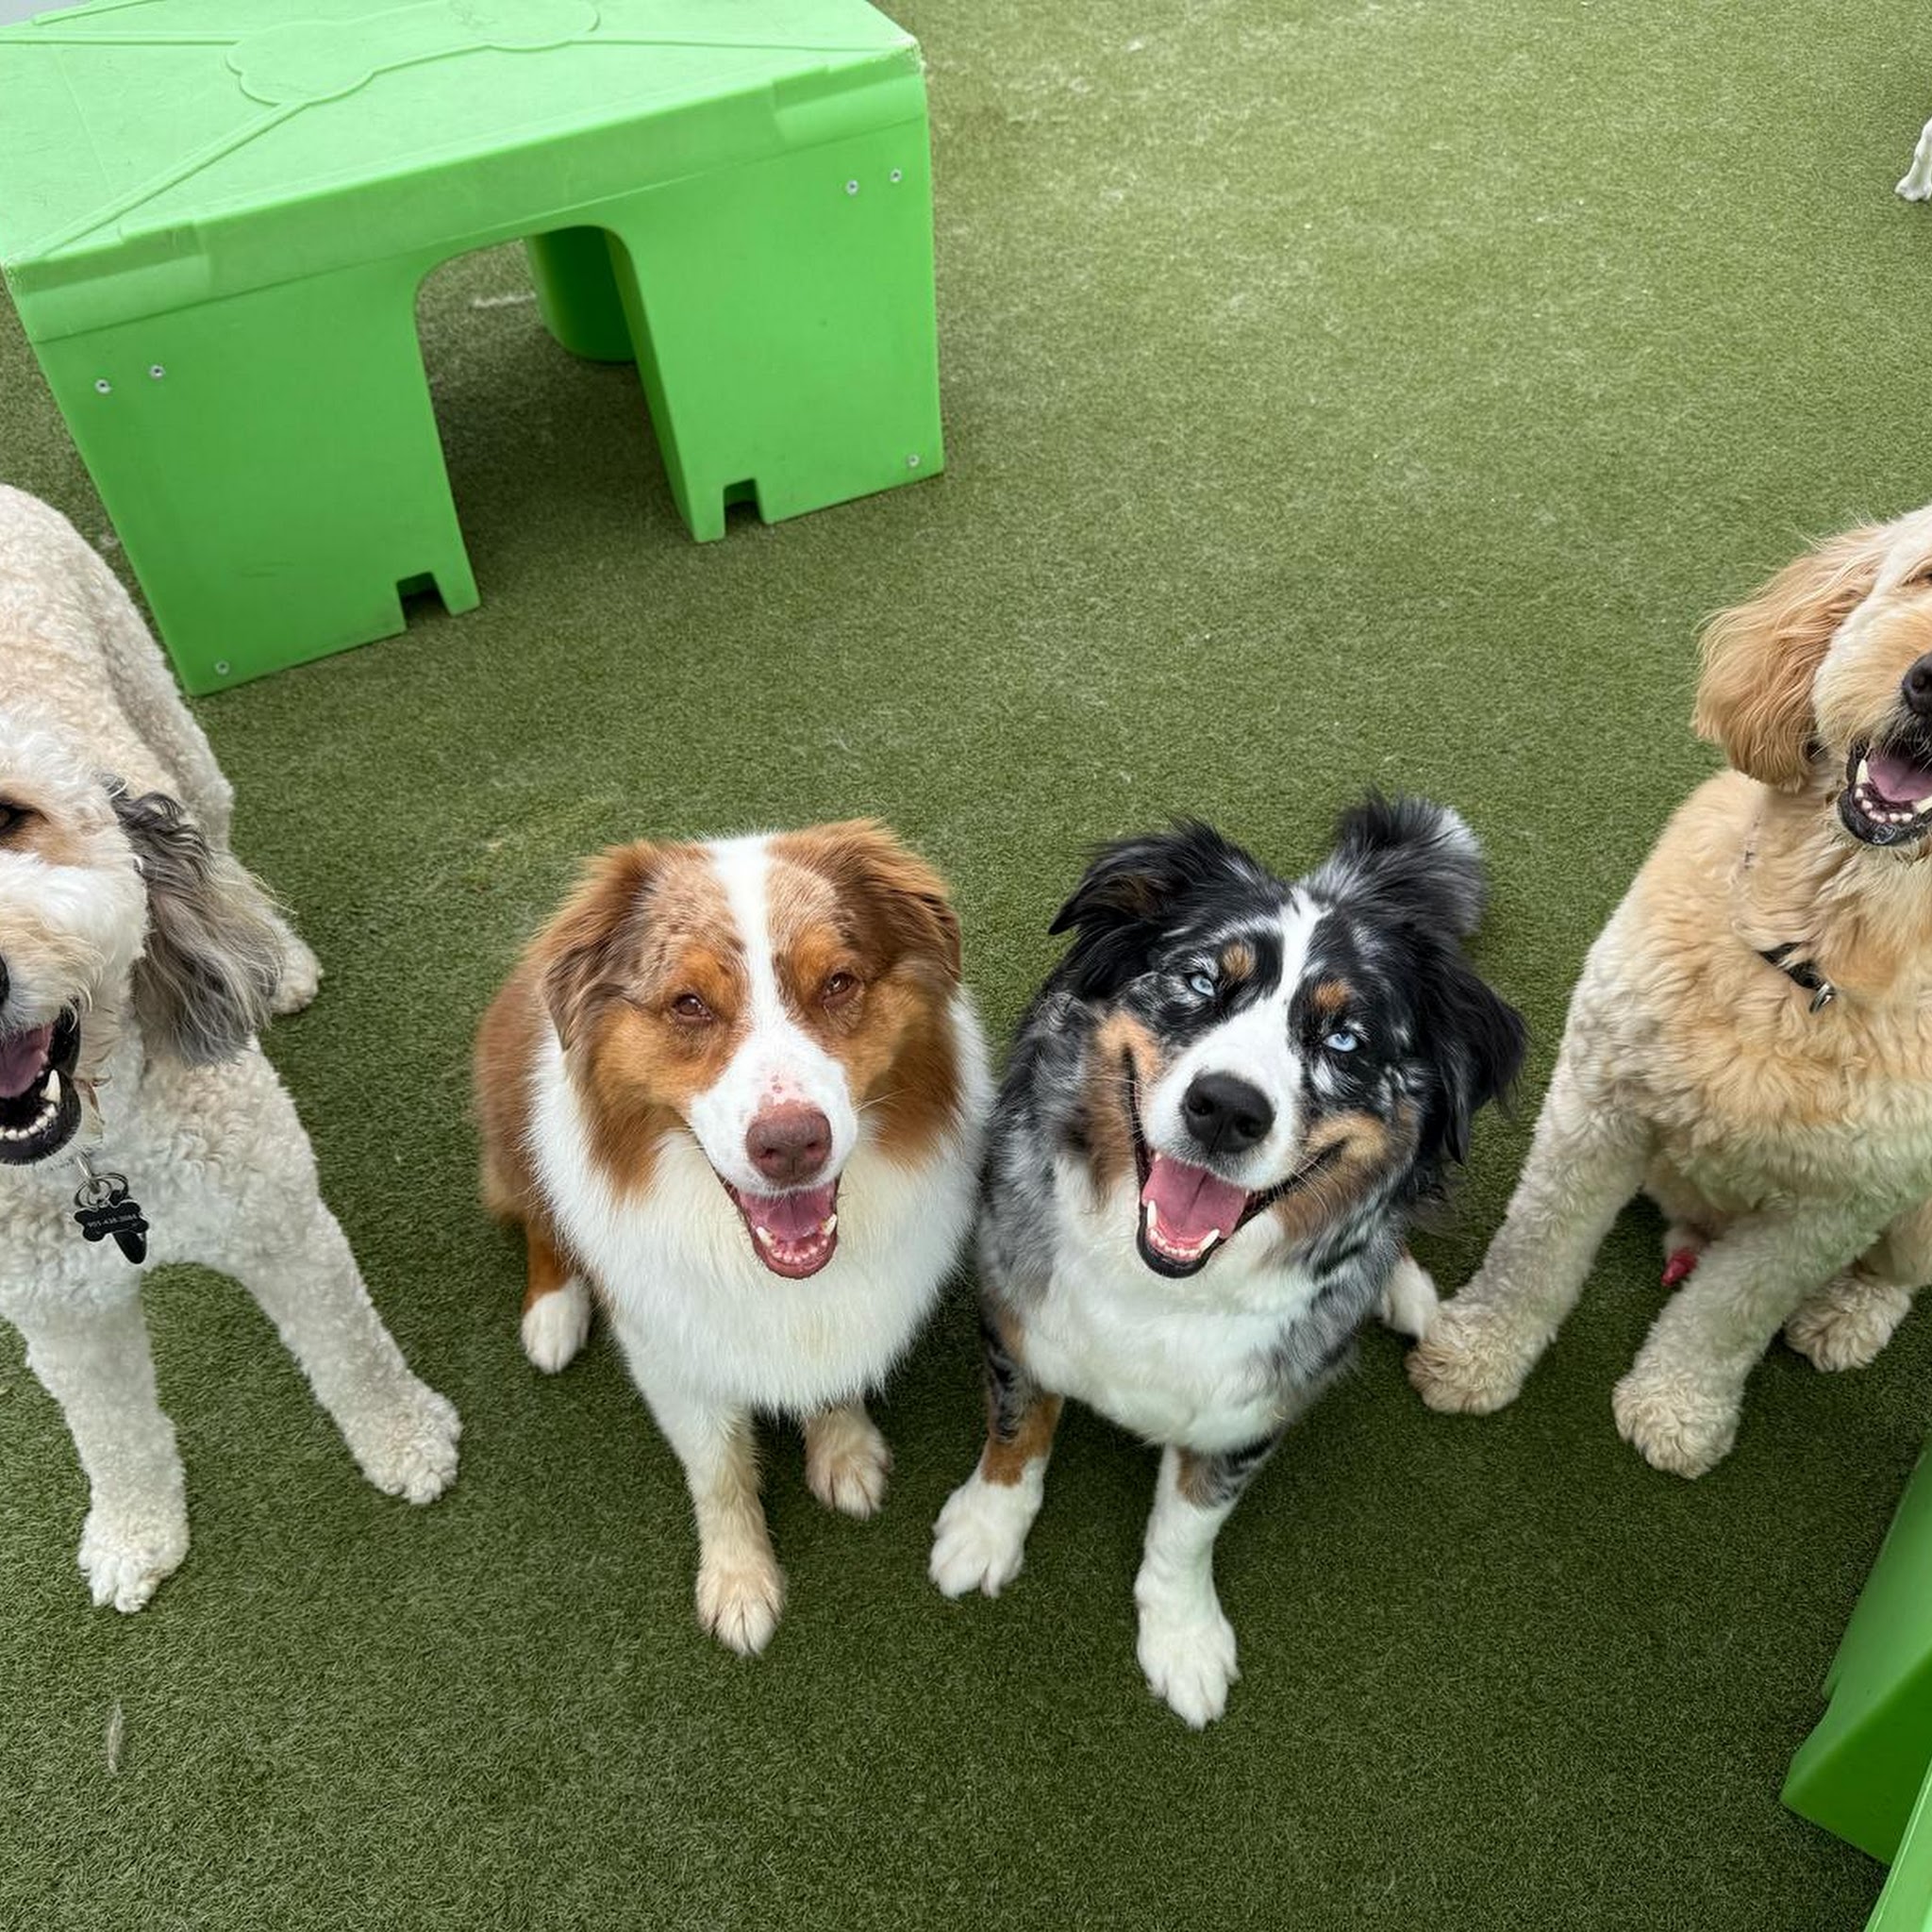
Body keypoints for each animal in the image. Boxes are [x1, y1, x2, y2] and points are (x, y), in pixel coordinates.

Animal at [0, 486, 460, 1610]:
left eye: (12, 816)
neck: (94, 1160)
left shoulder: (282, 1224)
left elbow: (350, 1352)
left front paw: (405, 1441)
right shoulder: (60, 1319)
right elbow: (111, 1437)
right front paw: (132, 1536)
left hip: (169, 722)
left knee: (222, 855)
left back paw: (274, 962)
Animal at [475, 820, 990, 1656]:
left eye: (838, 983)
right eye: (688, 1004)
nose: (791, 1144)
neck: (771, 1274)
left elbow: (832, 1383)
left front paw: (842, 1449)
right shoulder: (670, 1357)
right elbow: (718, 1472)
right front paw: (739, 1583)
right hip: (510, 1130)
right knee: (539, 1220)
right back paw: (553, 1314)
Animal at [928, 801, 1524, 1726]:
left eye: (1346, 1039)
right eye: (1204, 982)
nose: (1227, 1108)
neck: (1160, 1287)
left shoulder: (1248, 1416)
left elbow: (1187, 1528)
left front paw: (1183, 1638)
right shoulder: (1015, 1318)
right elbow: (1017, 1429)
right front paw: (986, 1529)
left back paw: (1407, 1290)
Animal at [1411, 503, 1932, 1476]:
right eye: (1923, 576)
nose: (1927, 685)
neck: (1813, 961)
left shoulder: (1830, 1209)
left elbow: (1729, 1315)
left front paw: (1678, 1410)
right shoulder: (1596, 1102)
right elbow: (1536, 1246)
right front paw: (1476, 1351)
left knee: (1897, 1277)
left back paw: (1847, 1316)